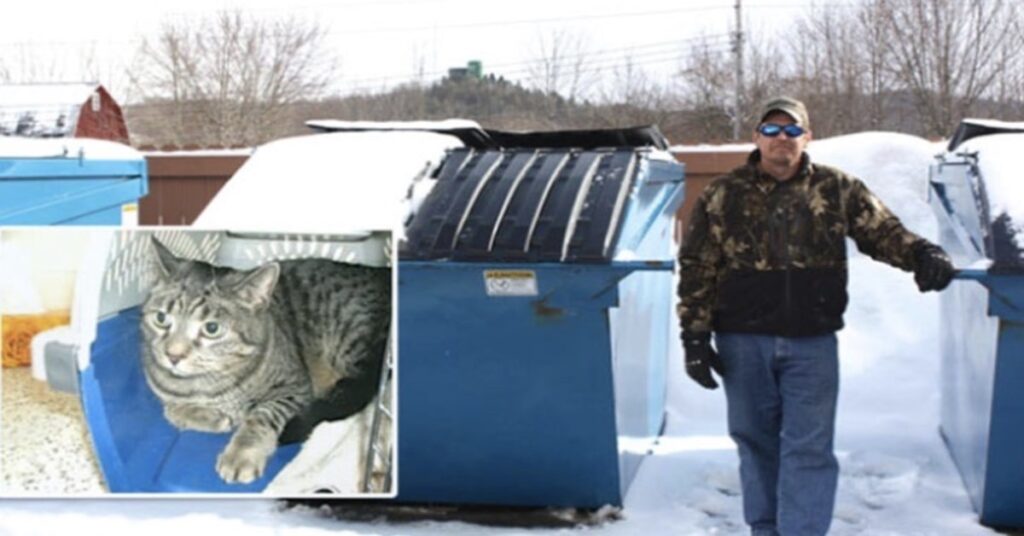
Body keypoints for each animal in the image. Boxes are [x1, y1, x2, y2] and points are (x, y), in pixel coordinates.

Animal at [140, 236, 387, 483]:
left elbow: (262, 415)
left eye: (211, 328)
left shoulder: (295, 388)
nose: (173, 355)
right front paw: (207, 415)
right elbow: (170, 407)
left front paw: (241, 453)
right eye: (161, 318)